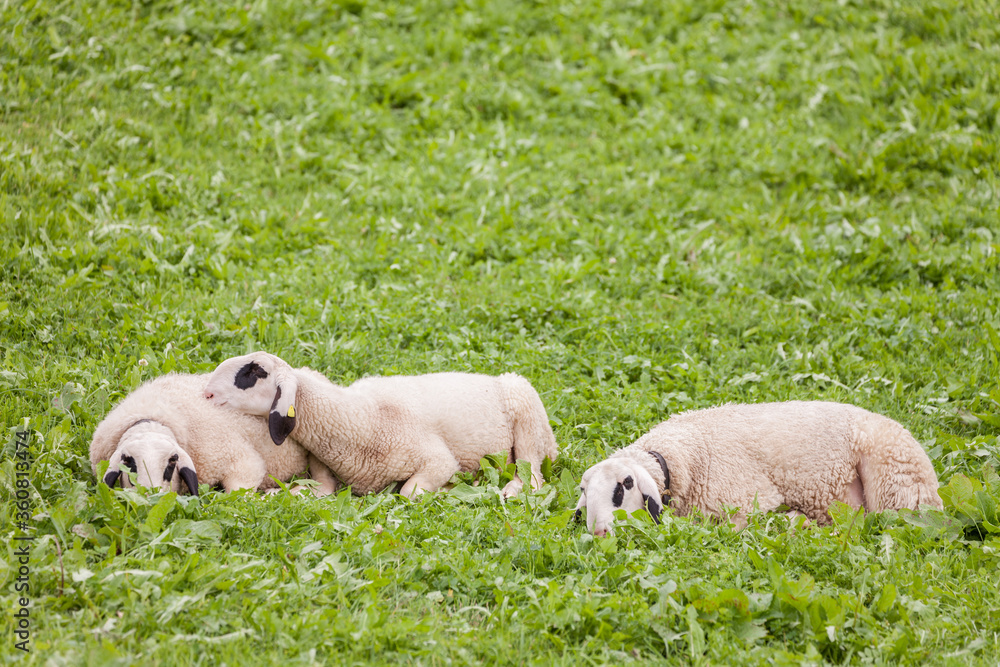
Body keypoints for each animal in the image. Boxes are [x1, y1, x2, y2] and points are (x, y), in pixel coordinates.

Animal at [90, 373, 339, 496]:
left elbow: (238, 496)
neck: (151, 420)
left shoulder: (240, 460)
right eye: (128, 462)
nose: (150, 496)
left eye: (172, 462)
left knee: (325, 483)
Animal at [202, 352, 558, 498]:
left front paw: (448, 489)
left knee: (533, 476)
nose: (206, 393)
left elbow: (409, 492)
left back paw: (509, 490)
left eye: (254, 372)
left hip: (528, 421)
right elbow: (320, 488)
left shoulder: (437, 460)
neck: (362, 418)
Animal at [574, 401, 943, 536]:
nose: (599, 532)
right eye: (584, 492)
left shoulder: (749, 501)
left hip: (896, 487)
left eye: (625, 485)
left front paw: (792, 521)